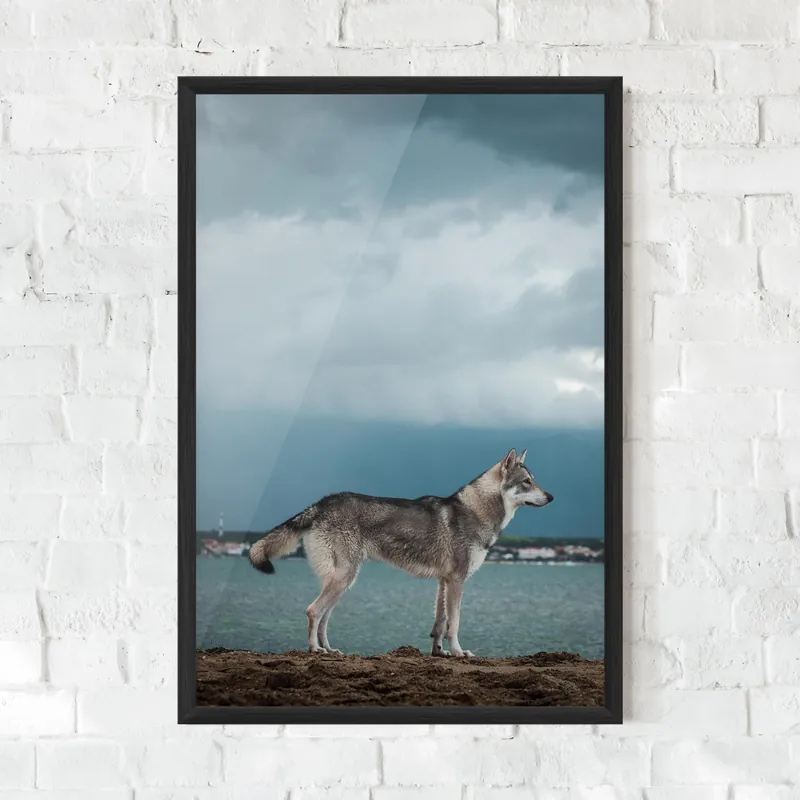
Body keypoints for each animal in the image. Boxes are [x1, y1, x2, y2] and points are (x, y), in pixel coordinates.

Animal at [248, 448, 553, 657]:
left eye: (534, 480)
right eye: (526, 481)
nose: (551, 497)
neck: (476, 511)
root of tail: (321, 503)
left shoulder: (444, 581)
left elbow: (440, 623)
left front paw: (439, 653)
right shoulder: (457, 581)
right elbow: (454, 623)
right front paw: (458, 652)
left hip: (342, 582)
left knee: (323, 617)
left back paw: (330, 649)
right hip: (343, 579)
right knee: (313, 611)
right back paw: (315, 650)